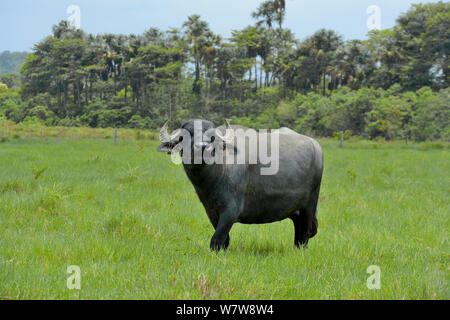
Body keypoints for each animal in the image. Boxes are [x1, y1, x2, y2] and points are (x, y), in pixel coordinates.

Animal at [156, 119, 322, 251]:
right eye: (184, 136)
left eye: (212, 137)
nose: (202, 147)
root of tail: (316, 146)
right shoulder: (211, 210)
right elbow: (224, 240)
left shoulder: (231, 210)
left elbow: (216, 240)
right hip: (296, 210)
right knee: (299, 233)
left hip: (310, 205)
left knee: (304, 235)